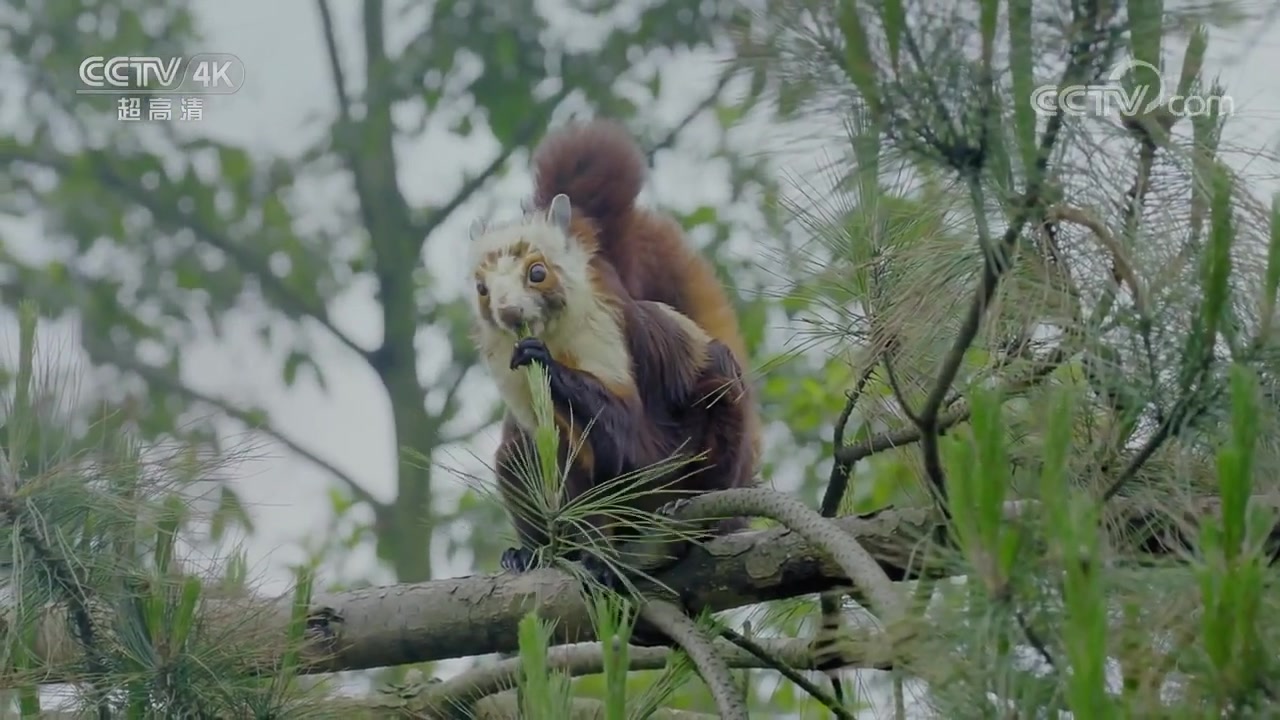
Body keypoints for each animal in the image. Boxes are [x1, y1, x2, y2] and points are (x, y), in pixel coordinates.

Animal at [465, 120, 757, 586]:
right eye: (481, 288)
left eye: (537, 272)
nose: (509, 313)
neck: (556, 337)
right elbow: (570, 468)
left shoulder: (606, 335)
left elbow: (624, 426)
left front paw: (543, 362)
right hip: (517, 458)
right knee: (518, 456)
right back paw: (533, 554)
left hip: (718, 406)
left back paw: (690, 515)